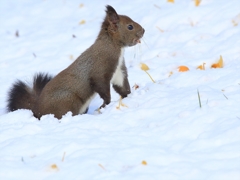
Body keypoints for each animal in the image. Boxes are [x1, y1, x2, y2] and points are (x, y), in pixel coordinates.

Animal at [6, 4, 144, 119]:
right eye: (130, 26)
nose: (143, 31)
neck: (113, 46)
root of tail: (36, 110)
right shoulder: (100, 69)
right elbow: (102, 88)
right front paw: (105, 105)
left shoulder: (118, 70)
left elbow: (122, 86)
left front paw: (128, 96)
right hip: (68, 100)